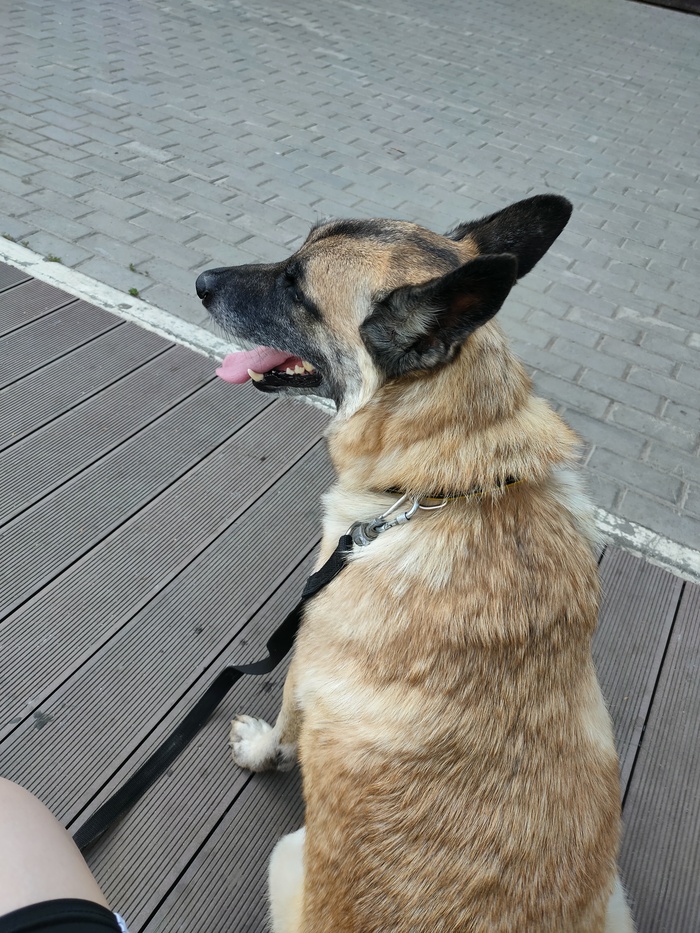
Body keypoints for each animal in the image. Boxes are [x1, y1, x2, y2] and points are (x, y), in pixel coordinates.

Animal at [195, 195, 635, 932]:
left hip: (287, 855)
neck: (444, 487)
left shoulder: (305, 663)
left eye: (297, 287)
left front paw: (260, 751)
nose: (200, 281)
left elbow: (285, 723)